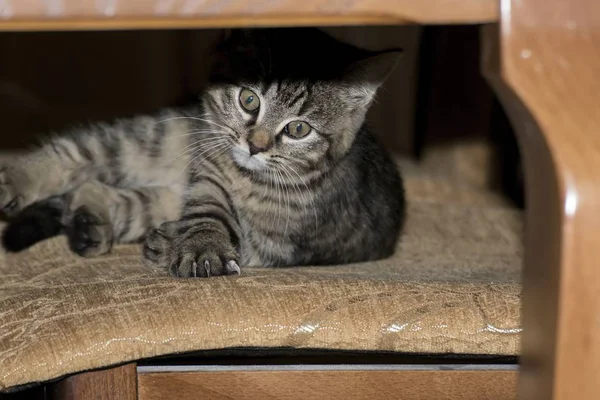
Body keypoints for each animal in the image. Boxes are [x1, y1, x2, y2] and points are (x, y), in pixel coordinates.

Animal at [0, 28, 406, 278]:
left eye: (298, 129)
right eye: (248, 99)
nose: (255, 145)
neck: (245, 177)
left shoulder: (283, 242)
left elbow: (241, 238)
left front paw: (179, 245)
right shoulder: (209, 172)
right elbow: (209, 210)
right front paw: (200, 245)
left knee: (98, 193)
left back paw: (91, 222)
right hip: (155, 137)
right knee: (76, 154)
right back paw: (16, 182)